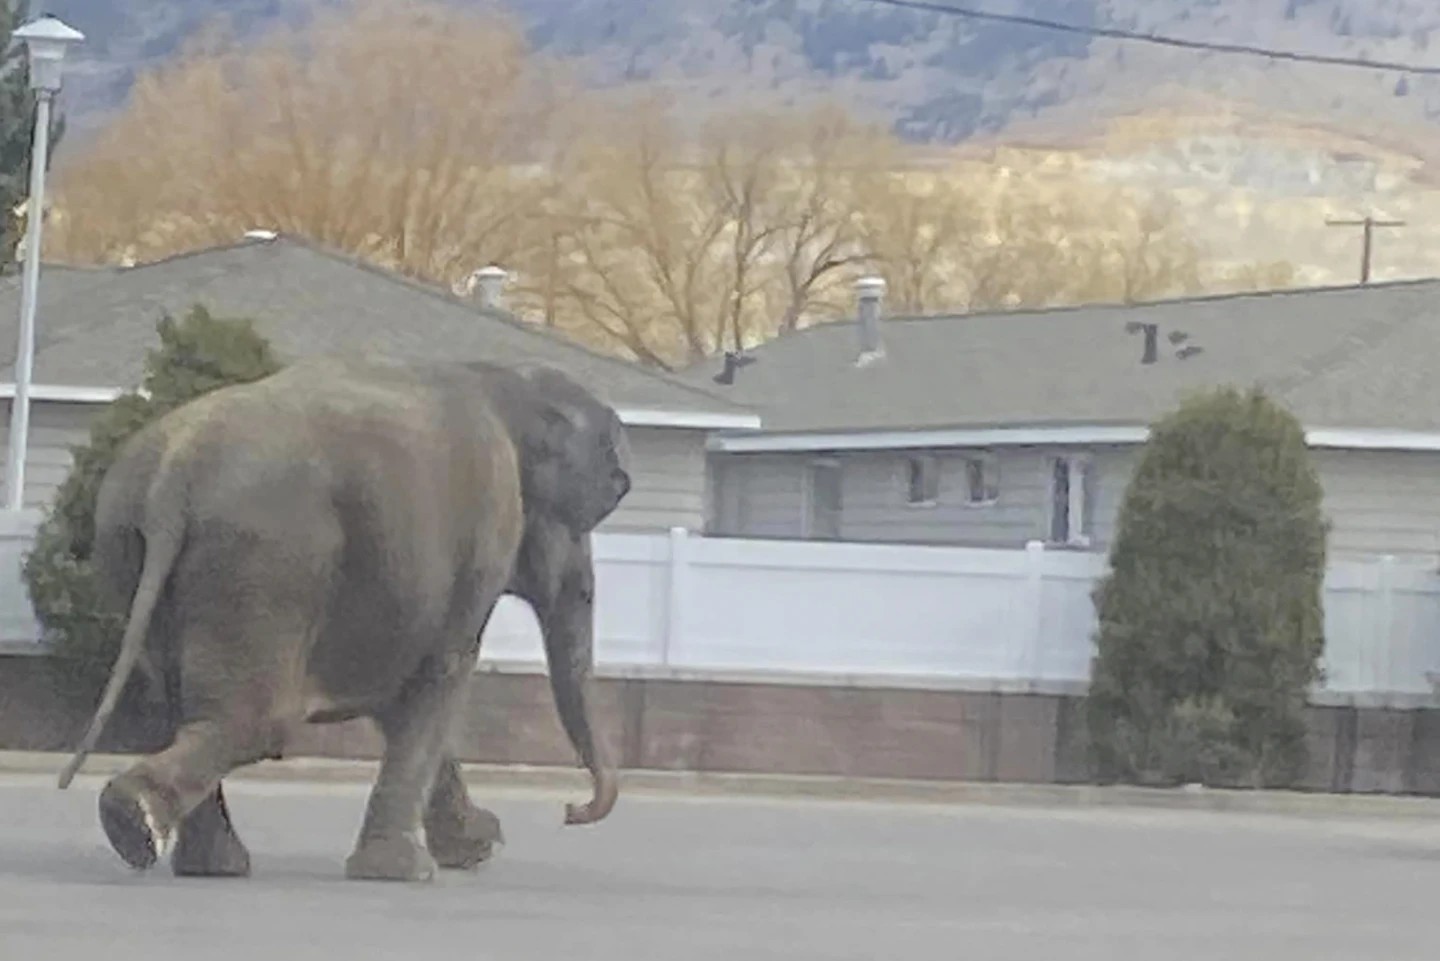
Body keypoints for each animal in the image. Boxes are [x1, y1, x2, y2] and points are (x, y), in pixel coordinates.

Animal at [56, 350, 630, 881]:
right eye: (583, 520)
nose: (570, 810)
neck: (504, 378)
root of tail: (175, 474)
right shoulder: (484, 534)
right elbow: (441, 674)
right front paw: (408, 870)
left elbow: (398, 697)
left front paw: (473, 846)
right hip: (270, 560)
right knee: (254, 720)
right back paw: (136, 822)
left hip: (134, 552)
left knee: (182, 708)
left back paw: (202, 861)